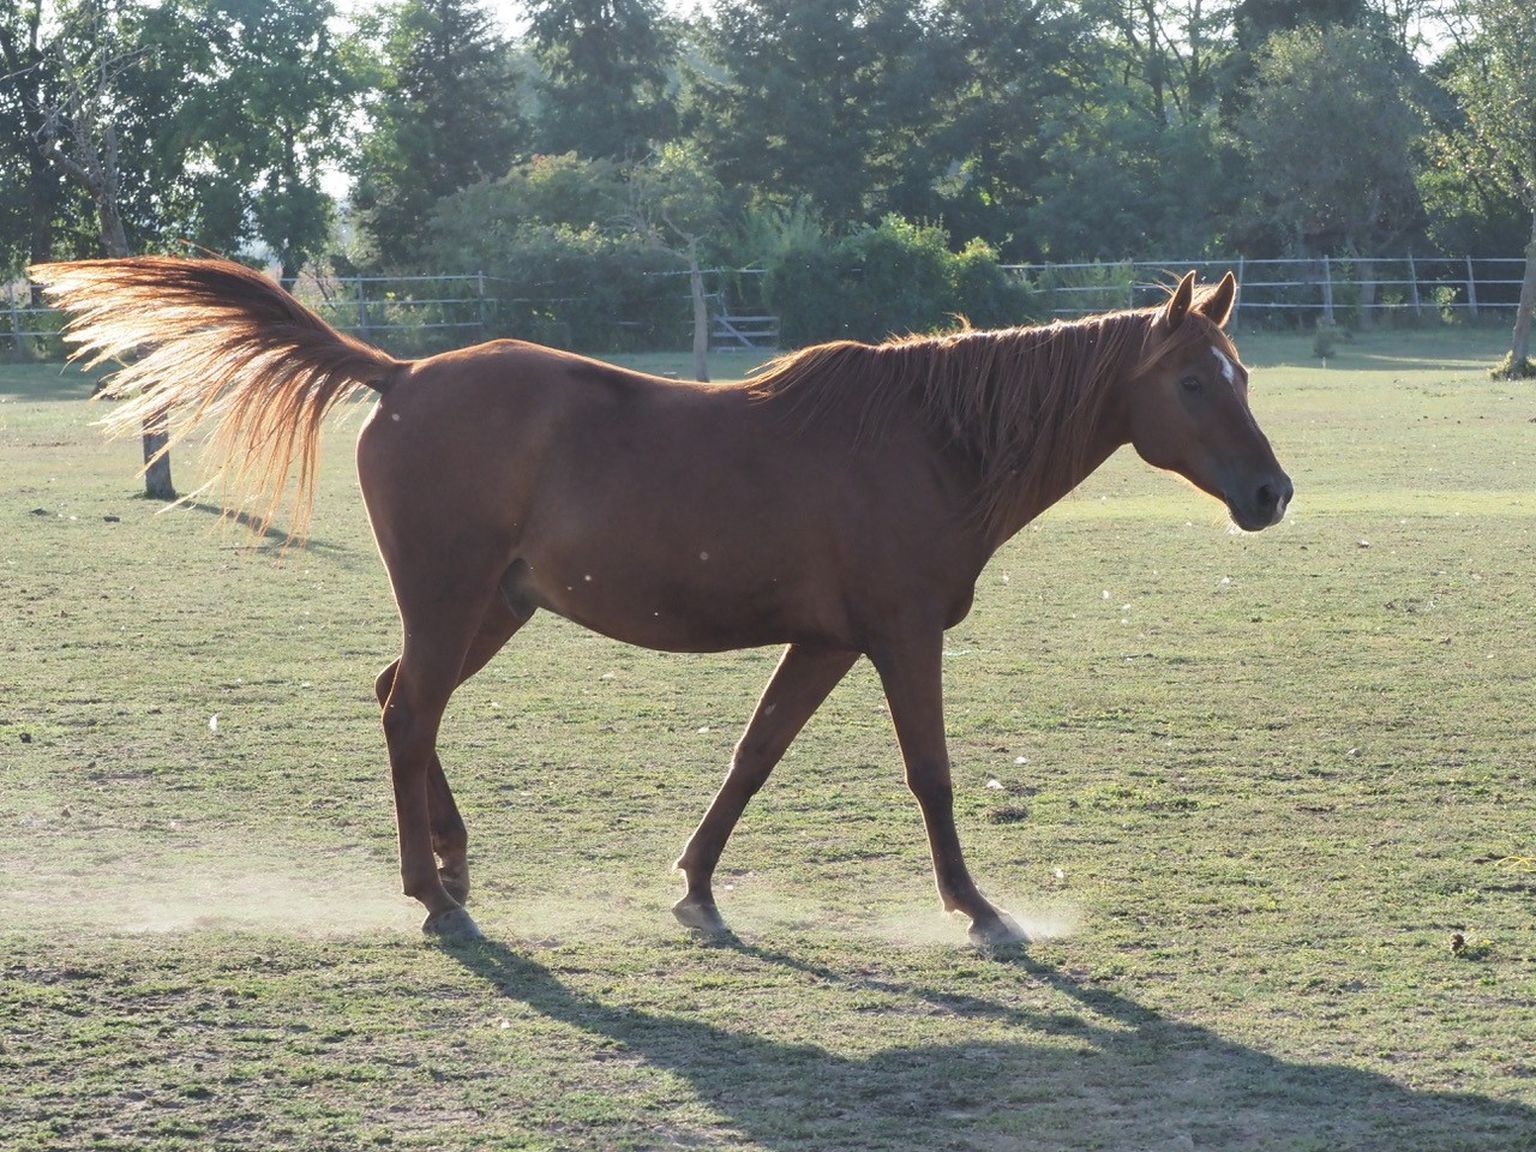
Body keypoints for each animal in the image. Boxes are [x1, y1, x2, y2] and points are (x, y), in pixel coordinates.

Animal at [32, 258, 1291, 948]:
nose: (1272, 493)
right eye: (1195, 381)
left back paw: (456, 859)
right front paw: (975, 908)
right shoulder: (899, 638)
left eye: (1242, 375)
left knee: (401, 701)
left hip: (493, 607)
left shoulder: (826, 643)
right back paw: (431, 893)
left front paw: (693, 888)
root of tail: (402, 375)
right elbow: (929, 774)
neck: (930, 443)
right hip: (450, 602)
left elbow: (753, 755)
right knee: (406, 712)